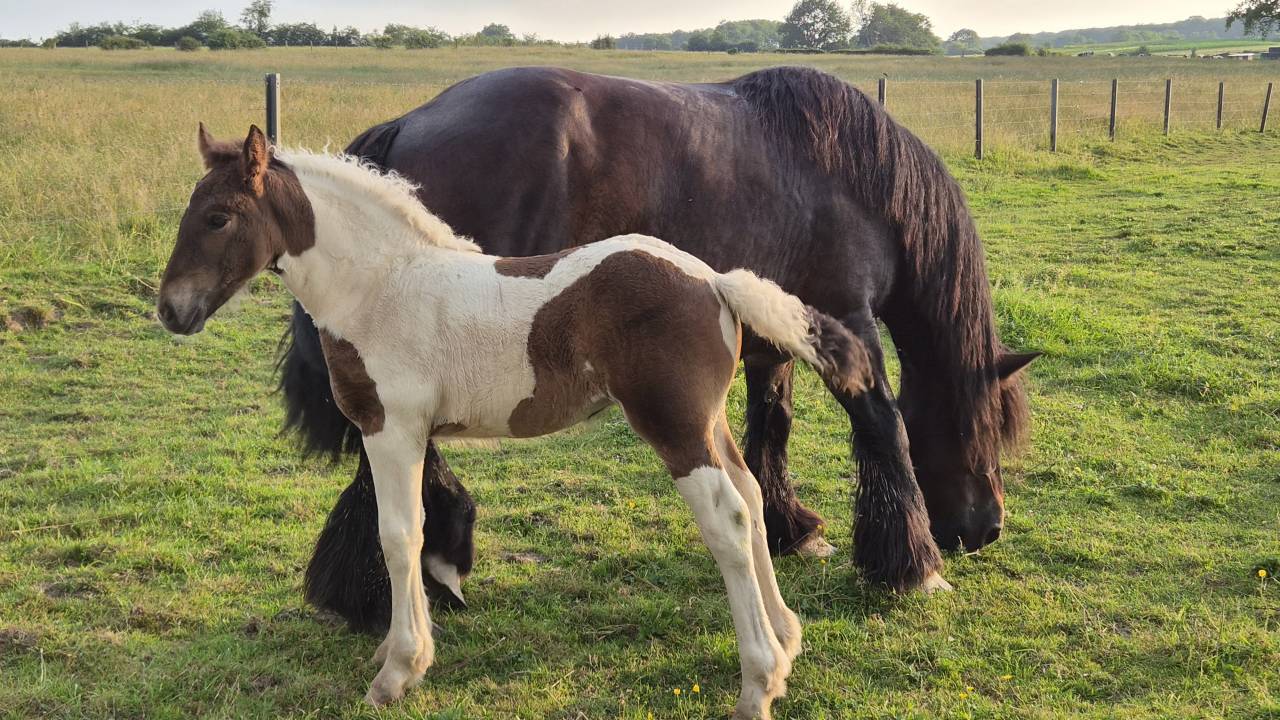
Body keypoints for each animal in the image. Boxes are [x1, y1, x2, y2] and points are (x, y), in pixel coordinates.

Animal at [158, 122, 891, 718]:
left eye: (218, 218)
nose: (170, 310)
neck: (380, 286)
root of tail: (713, 280)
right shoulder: (405, 433)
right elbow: (415, 533)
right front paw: (405, 651)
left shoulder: (391, 428)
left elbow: (399, 536)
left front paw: (398, 672)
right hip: (708, 424)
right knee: (751, 496)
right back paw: (786, 642)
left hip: (675, 427)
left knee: (728, 520)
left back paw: (758, 683)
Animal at [282, 66, 1039, 631]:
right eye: (988, 428)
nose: (987, 529)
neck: (853, 179)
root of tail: (410, 123)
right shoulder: (849, 322)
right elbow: (883, 424)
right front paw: (913, 566)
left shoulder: (774, 336)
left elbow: (771, 426)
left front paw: (789, 527)